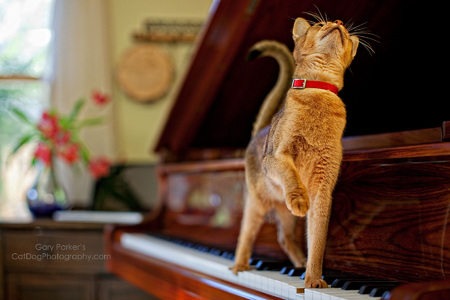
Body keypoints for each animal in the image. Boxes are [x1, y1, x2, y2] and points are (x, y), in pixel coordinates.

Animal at [232, 16, 358, 288]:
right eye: (320, 23)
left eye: (342, 27)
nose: (338, 22)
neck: (319, 91)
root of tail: (261, 131)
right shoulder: (276, 157)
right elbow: (290, 175)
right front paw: (299, 199)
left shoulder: (323, 187)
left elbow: (318, 241)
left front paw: (313, 279)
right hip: (256, 202)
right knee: (245, 234)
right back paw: (239, 265)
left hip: (284, 215)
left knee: (284, 238)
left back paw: (299, 264)